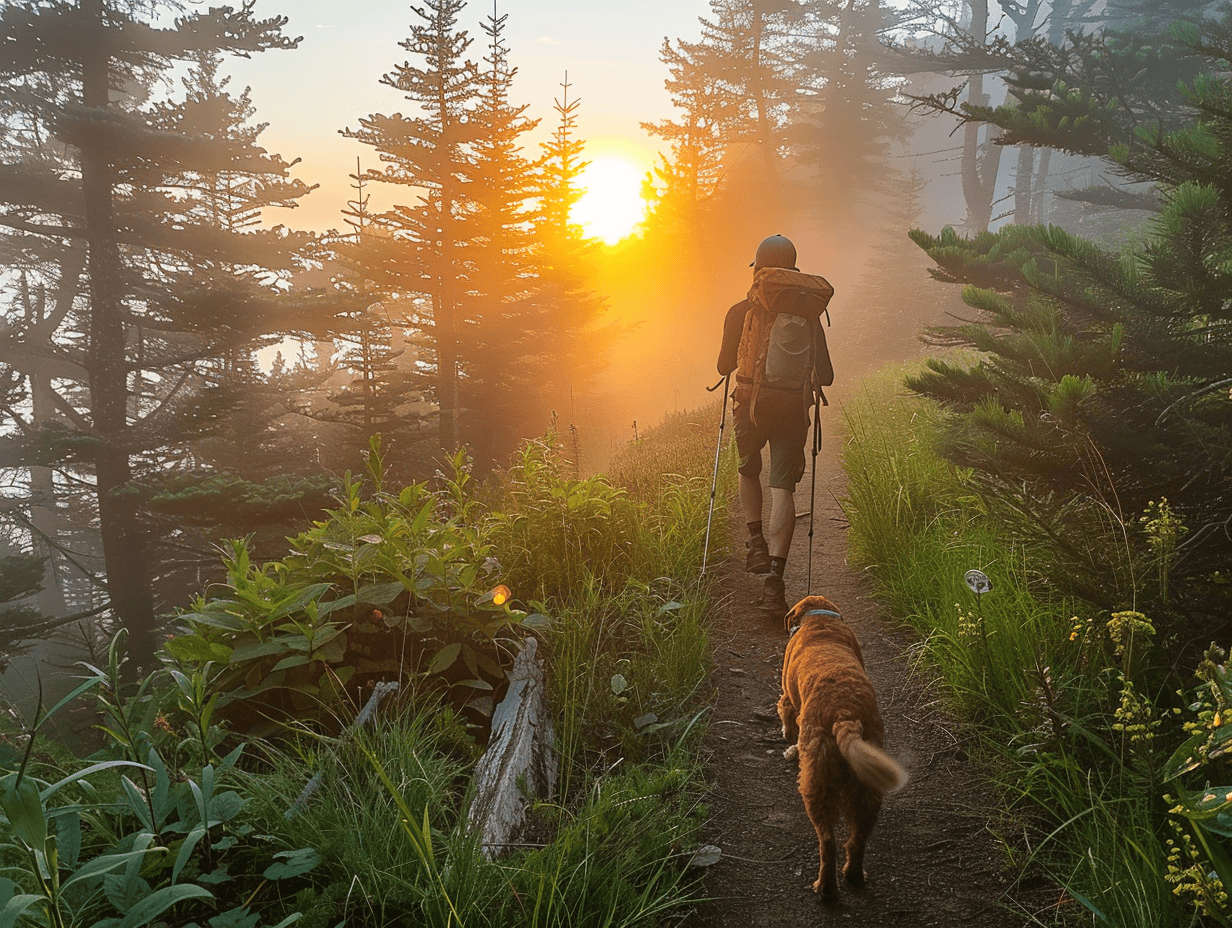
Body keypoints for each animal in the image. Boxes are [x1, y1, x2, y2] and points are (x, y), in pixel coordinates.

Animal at [778, 594, 906, 897]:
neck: (820, 620)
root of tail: (844, 715)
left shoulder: (788, 696)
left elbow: (786, 713)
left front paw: (789, 742)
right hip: (866, 786)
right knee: (857, 838)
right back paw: (854, 875)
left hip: (818, 780)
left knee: (828, 841)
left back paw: (825, 888)